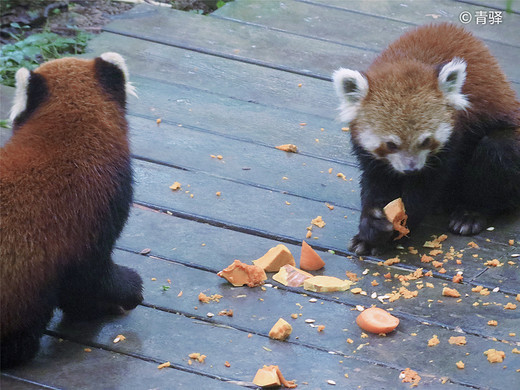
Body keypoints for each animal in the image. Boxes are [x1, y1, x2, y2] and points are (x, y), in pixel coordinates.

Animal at [334, 23, 520, 256]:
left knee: (496, 150)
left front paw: (398, 226)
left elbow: (426, 186)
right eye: (391, 144)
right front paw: (370, 226)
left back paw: (471, 213)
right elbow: (375, 182)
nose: (410, 169)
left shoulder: (453, 139)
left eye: (425, 141)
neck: (407, 59)